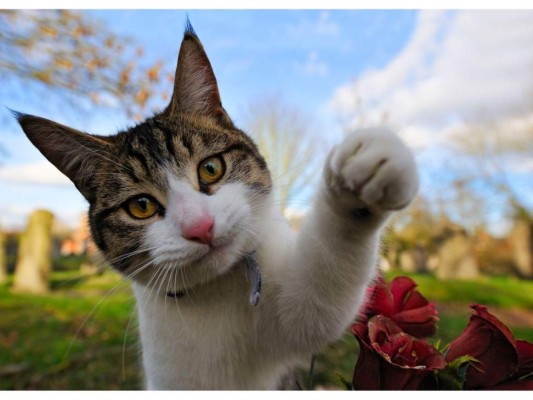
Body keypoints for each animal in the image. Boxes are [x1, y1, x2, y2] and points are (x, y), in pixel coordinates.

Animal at [14, 22, 418, 390]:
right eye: (140, 206)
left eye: (211, 168)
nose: (200, 226)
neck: (216, 292)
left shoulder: (292, 314)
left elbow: (322, 295)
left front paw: (363, 171)